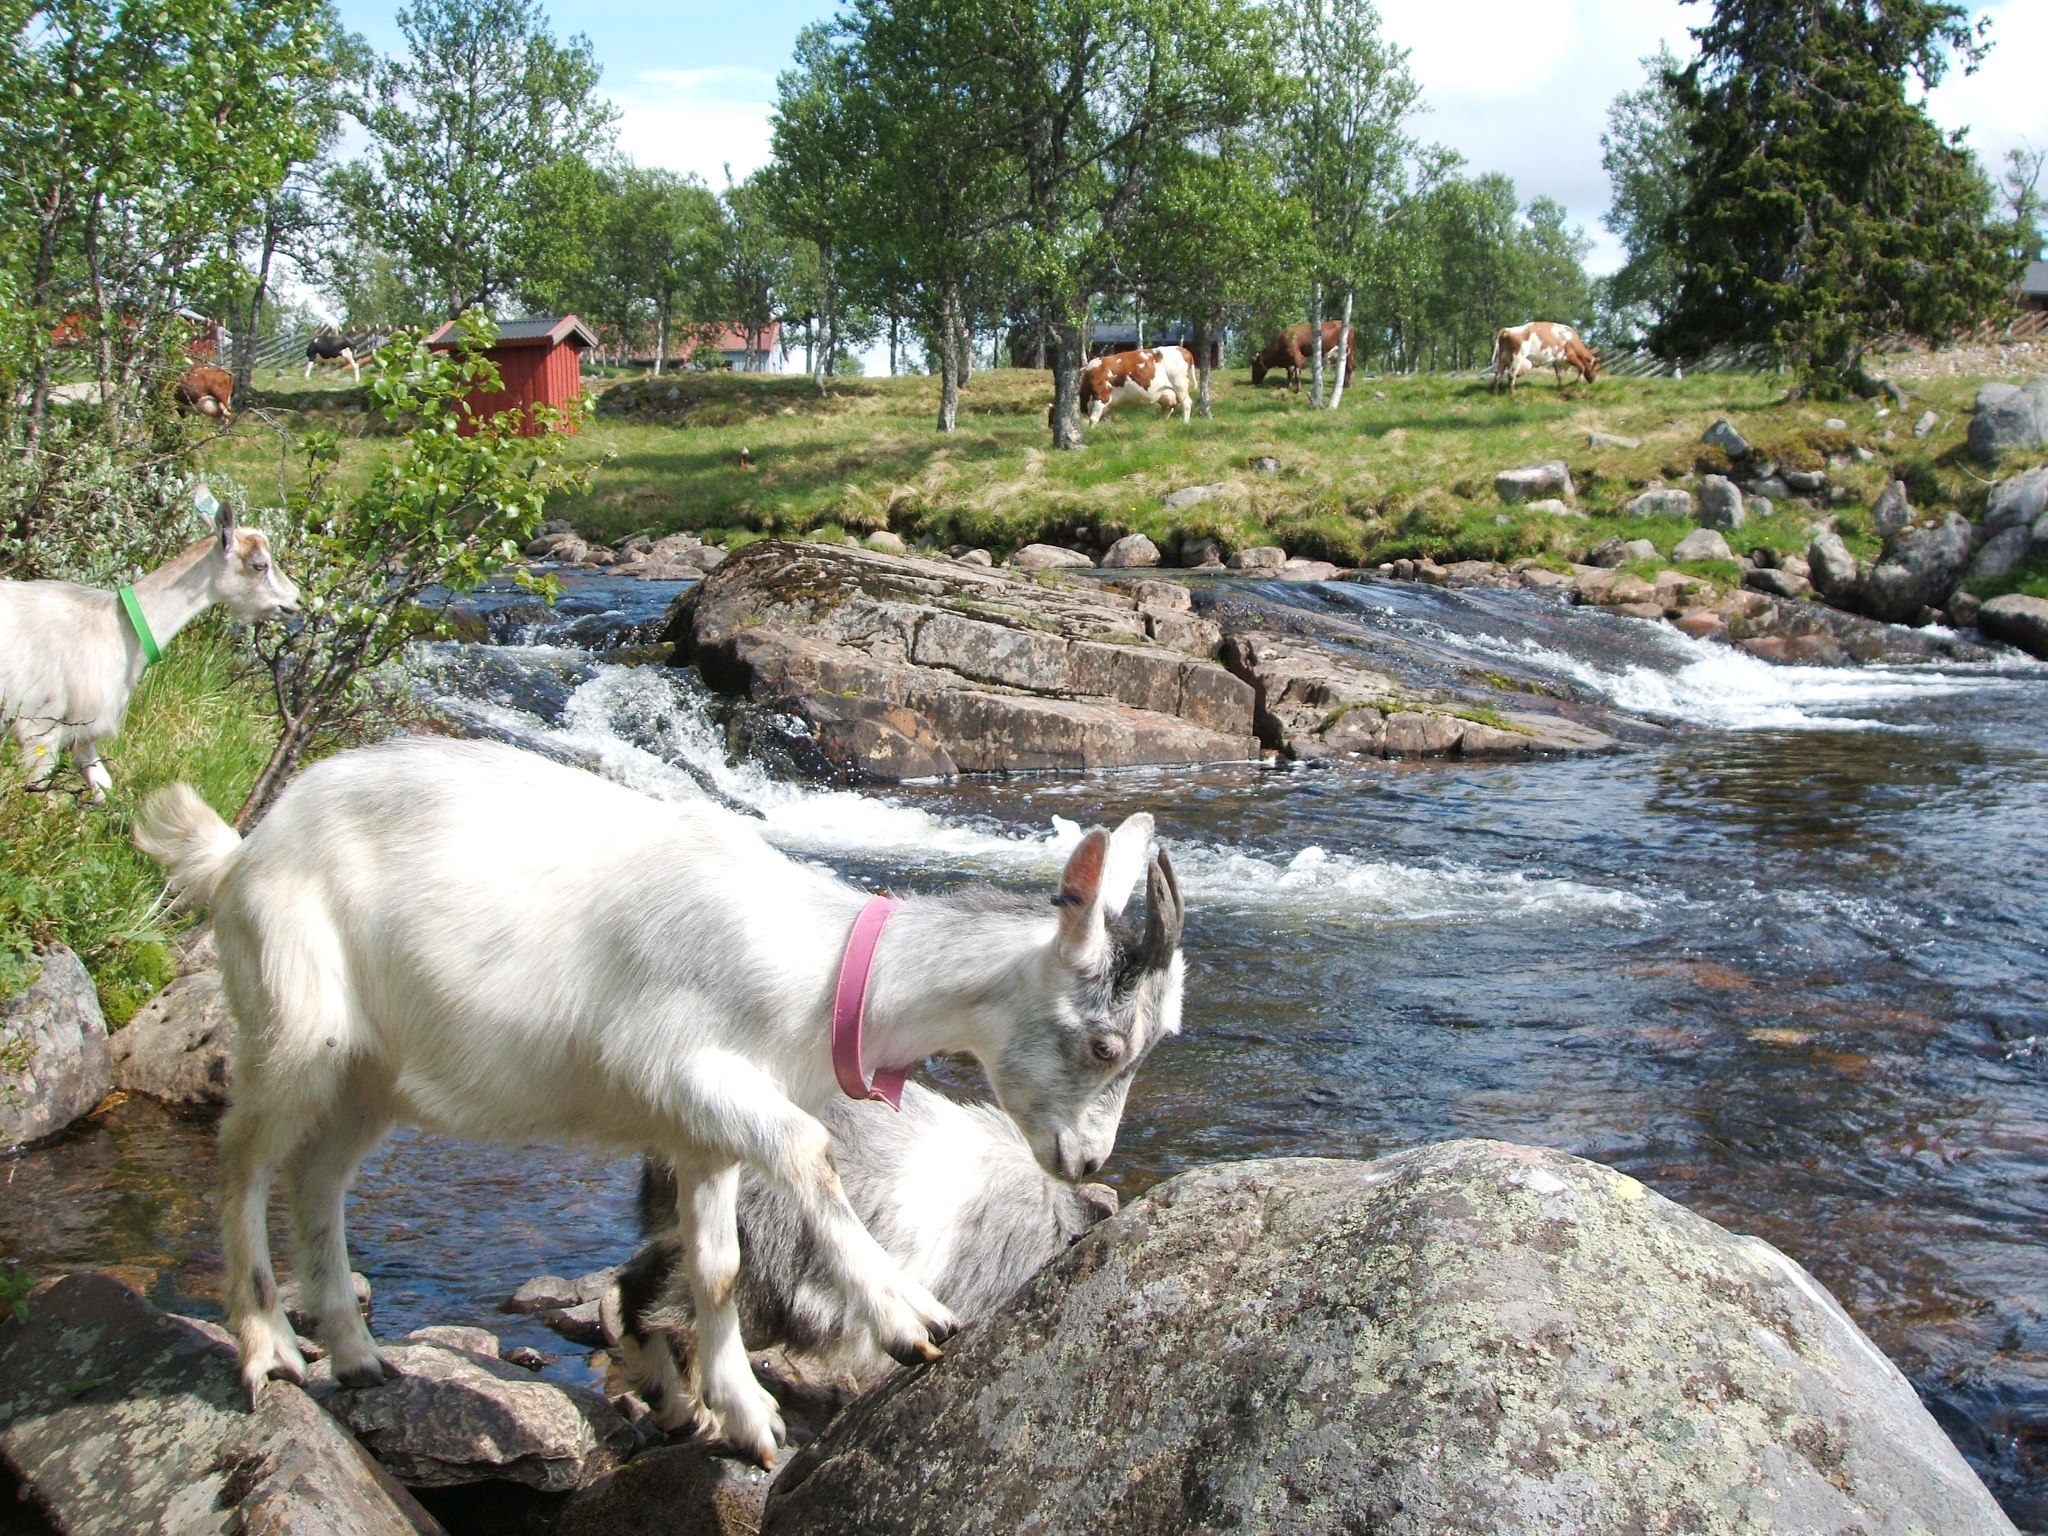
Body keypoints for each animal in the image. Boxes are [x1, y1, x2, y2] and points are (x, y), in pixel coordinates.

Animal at [1, 501, 298, 800]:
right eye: (259, 565)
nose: (295, 600)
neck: (115, 629)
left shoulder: (82, 731)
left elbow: (103, 787)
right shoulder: (40, 729)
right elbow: (38, 795)